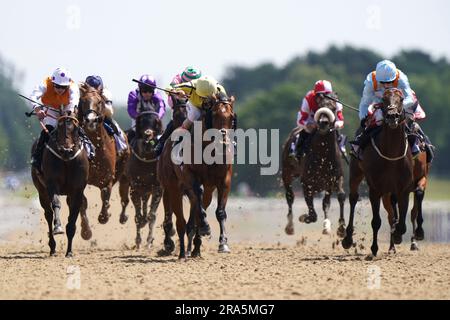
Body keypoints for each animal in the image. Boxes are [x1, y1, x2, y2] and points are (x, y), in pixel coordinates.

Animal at [31, 114, 89, 256]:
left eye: (75, 129)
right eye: (59, 129)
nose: (66, 150)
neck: (67, 160)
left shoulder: (77, 189)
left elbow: (74, 213)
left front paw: (69, 251)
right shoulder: (52, 183)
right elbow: (56, 204)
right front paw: (58, 227)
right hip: (41, 191)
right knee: (48, 214)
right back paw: (52, 247)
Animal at [77, 82, 129, 235]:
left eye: (100, 101)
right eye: (83, 101)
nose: (90, 120)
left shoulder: (107, 179)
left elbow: (105, 196)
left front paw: (105, 216)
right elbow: (82, 202)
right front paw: (86, 231)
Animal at [282, 95, 348, 238]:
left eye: (333, 108)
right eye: (319, 106)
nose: (323, 123)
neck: (323, 153)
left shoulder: (335, 178)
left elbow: (339, 197)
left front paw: (340, 228)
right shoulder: (307, 182)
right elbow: (312, 214)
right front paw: (304, 217)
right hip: (287, 173)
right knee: (290, 196)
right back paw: (290, 227)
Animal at [342, 88, 414, 258]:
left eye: (401, 99)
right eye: (383, 100)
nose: (392, 116)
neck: (392, 156)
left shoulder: (403, 189)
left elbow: (401, 222)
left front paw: (397, 235)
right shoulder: (374, 189)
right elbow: (376, 222)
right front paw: (374, 248)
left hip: (388, 193)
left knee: (391, 214)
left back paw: (392, 246)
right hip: (356, 173)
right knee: (353, 198)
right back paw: (348, 239)